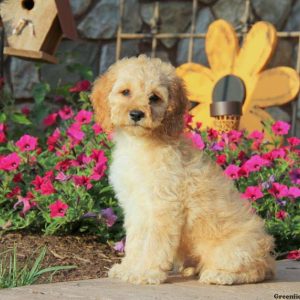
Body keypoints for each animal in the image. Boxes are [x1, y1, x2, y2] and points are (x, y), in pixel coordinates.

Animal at [91, 54, 274, 286]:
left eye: (154, 97)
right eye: (125, 92)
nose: (136, 114)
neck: (139, 144)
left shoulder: (164, 206)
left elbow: (154, 244)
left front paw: (145, 272)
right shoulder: (135, 207)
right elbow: (135, 241)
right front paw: (129, 268)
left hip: (233, 251)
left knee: (254, 270)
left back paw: (218, 275)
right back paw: (190, 269)